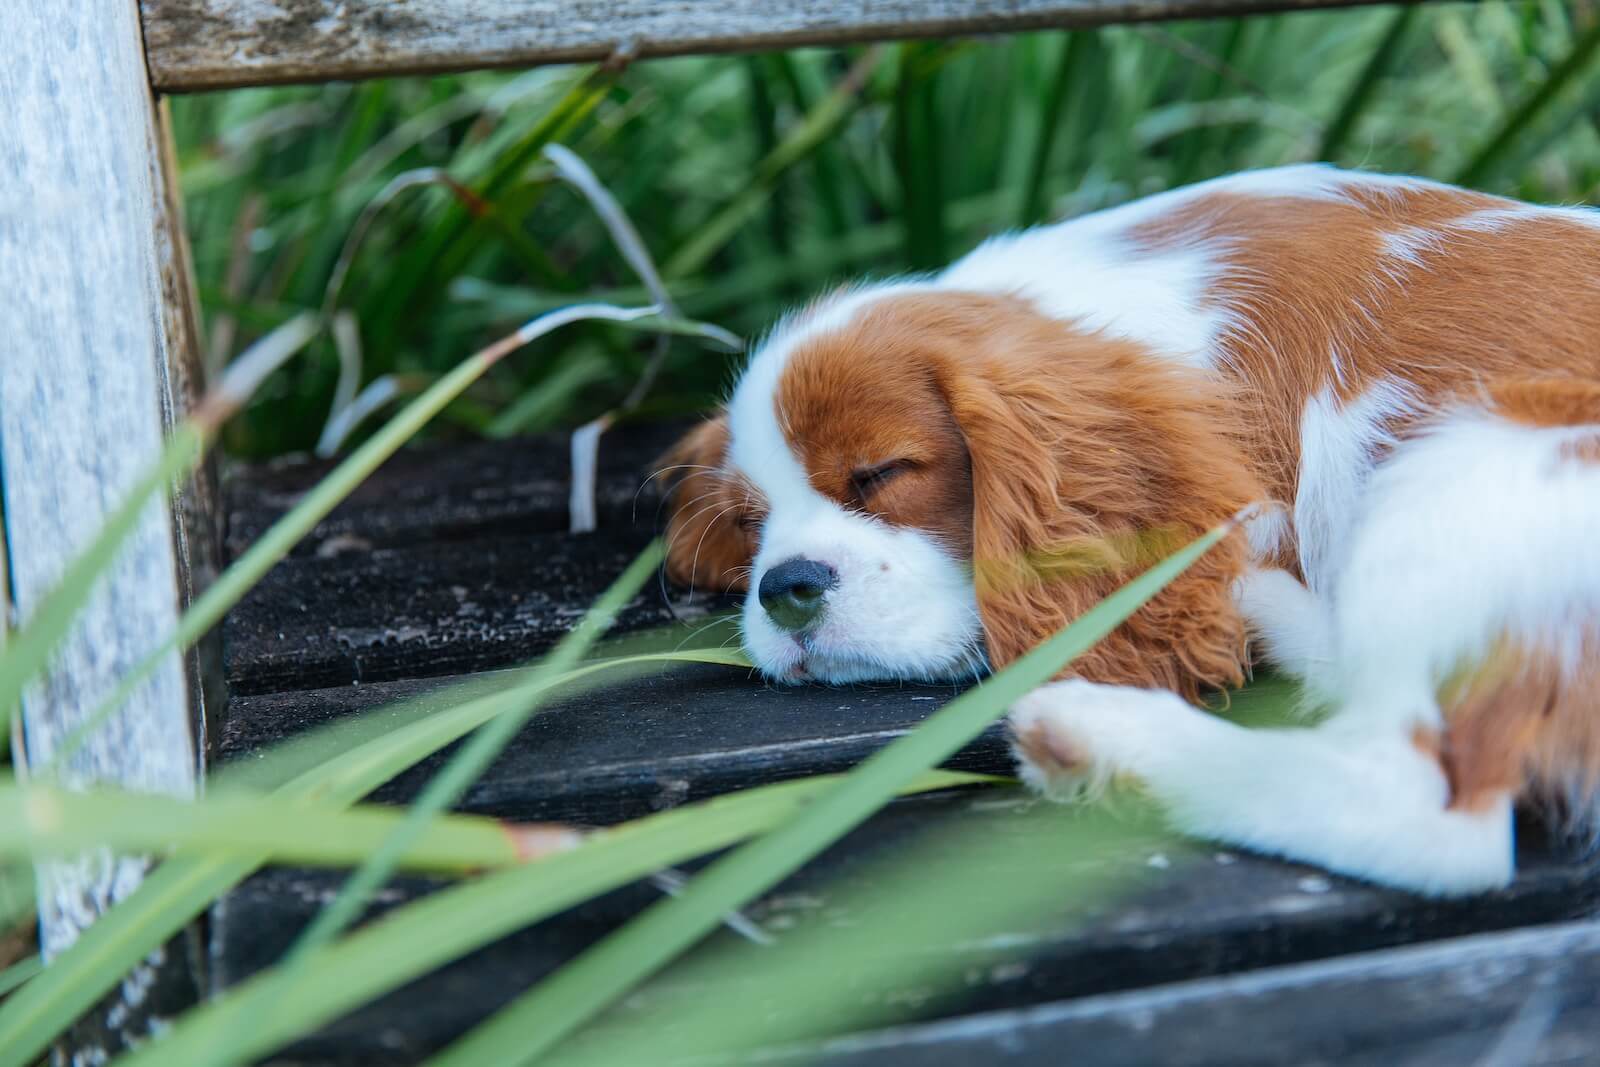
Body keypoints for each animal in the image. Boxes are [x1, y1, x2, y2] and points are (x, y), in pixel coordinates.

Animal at [652, 164, 1600, 902]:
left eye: (880, 474)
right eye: (749, 519)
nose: (787, 588)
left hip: (1473, 460)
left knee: (1432, 820)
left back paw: (1105, 731)